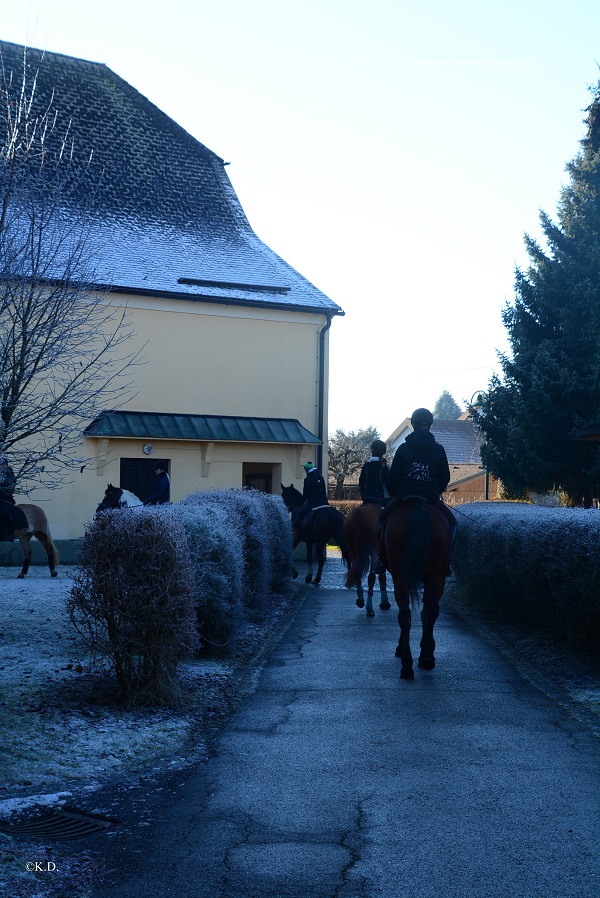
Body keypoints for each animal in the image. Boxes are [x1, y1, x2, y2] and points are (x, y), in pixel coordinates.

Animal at [380, 496, 450, 680]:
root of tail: (418, 506)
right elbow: (427, 610)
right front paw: (425, 652)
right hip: (436, 576)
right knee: (428, 611)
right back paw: (425, 659)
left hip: (402, 576)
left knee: (405, 614)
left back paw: (407, 663)